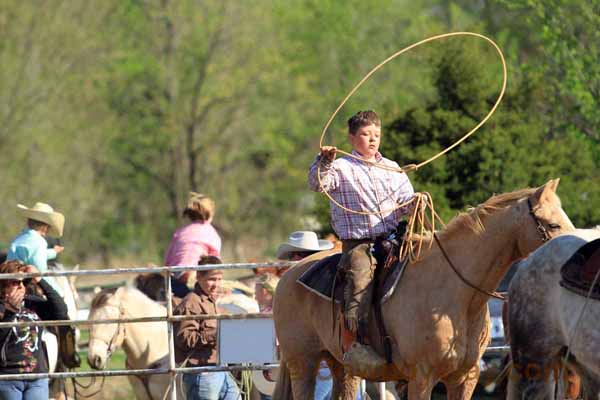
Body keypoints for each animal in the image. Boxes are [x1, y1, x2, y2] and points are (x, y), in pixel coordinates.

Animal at [272, 180, 572, 400]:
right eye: (553, 224)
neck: (457, 295)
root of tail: (289, 275)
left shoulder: (466, 377)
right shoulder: (421, 377)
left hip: (341, 365)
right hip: (303, 362)